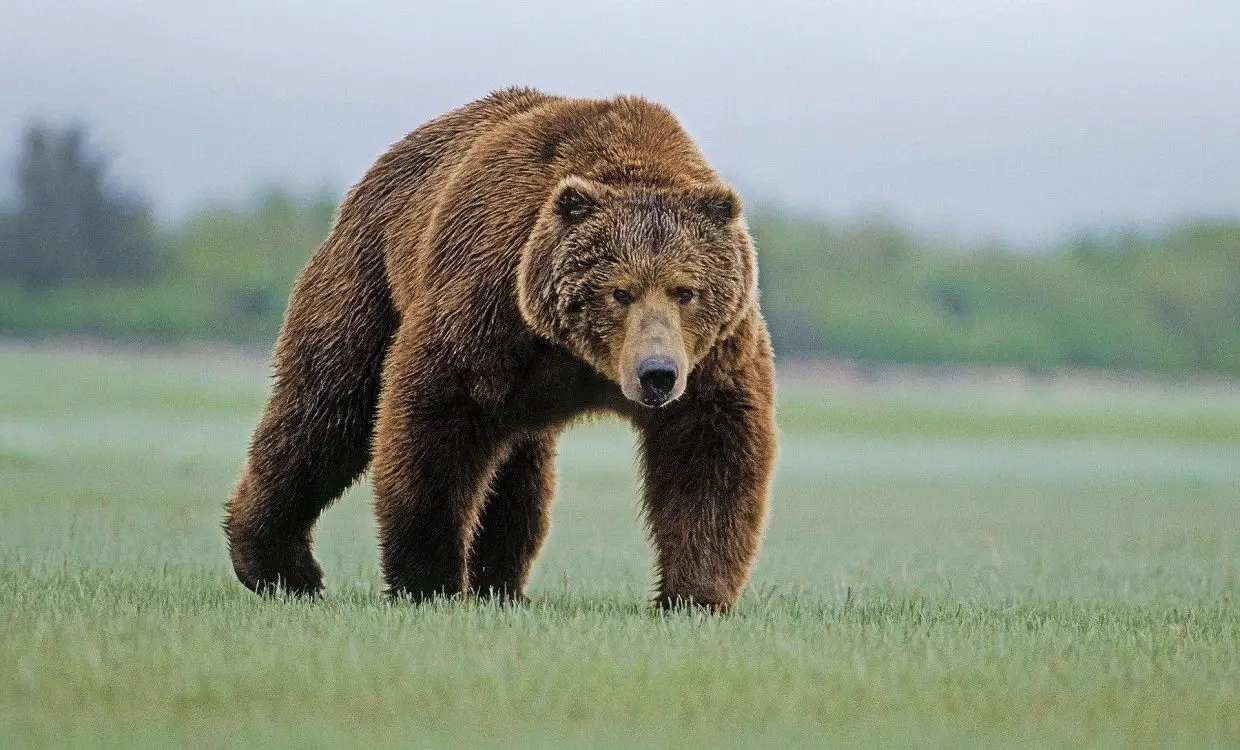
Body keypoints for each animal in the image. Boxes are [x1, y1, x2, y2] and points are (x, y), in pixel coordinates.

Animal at [223, 86, 773, 607]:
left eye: (685, 290)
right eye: (620, 291)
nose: (656, 373)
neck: (581, 358)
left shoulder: (713, 353)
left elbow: (709, 450)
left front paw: (694, 593)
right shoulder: (490, 302)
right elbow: (434, 423)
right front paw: (428, 580)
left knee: (518, 472)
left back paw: (500, 584)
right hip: (368, 276)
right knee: (326, 408)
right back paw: (278, 566)